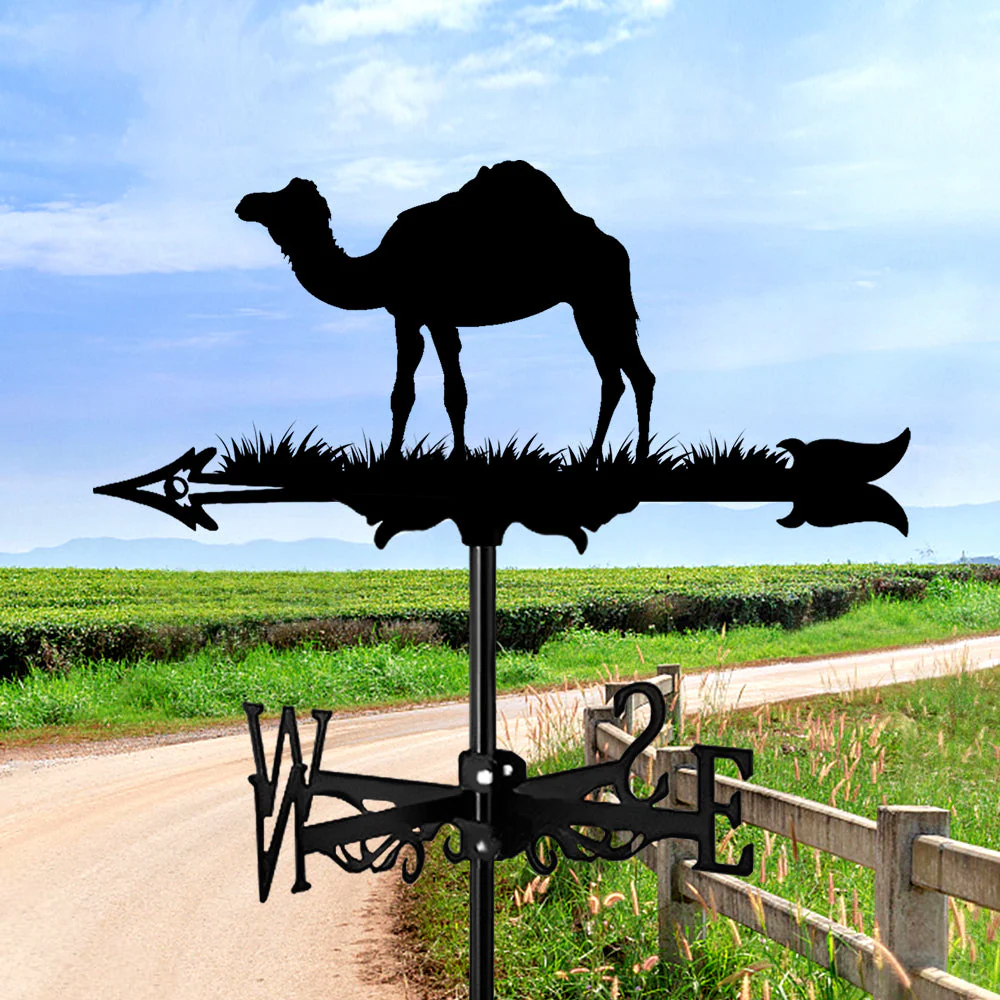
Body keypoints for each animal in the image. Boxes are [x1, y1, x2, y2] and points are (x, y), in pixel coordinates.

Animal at [235, 160, 654, 461]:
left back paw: (633, 458)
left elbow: (443, 391)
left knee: (629, 375)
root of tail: (616, 247)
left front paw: (438, 460)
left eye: (284, 200)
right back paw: (606, 458)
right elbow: (414, 390)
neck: (379, 268)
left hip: (598, 300)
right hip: (593, 305)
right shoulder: (415, 316)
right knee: (621, 377)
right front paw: (413, 456)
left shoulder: (427, 314)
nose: (245, 203)